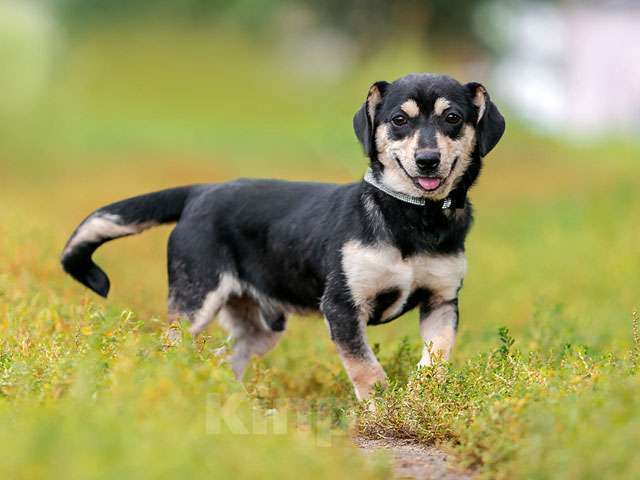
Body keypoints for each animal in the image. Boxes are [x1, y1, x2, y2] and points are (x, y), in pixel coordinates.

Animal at [63, 73, 504, 400]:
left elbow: (438, 357)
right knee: (173, 349)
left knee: (224, 357)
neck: (413, 217)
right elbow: (366, 369)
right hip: (195, 300)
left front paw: (419, 396)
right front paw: (382, 411)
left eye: (452, 118)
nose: (427, 160)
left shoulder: (441, 302)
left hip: (260, 328)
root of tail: (201, 191)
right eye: (399, 120)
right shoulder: (342, 307)